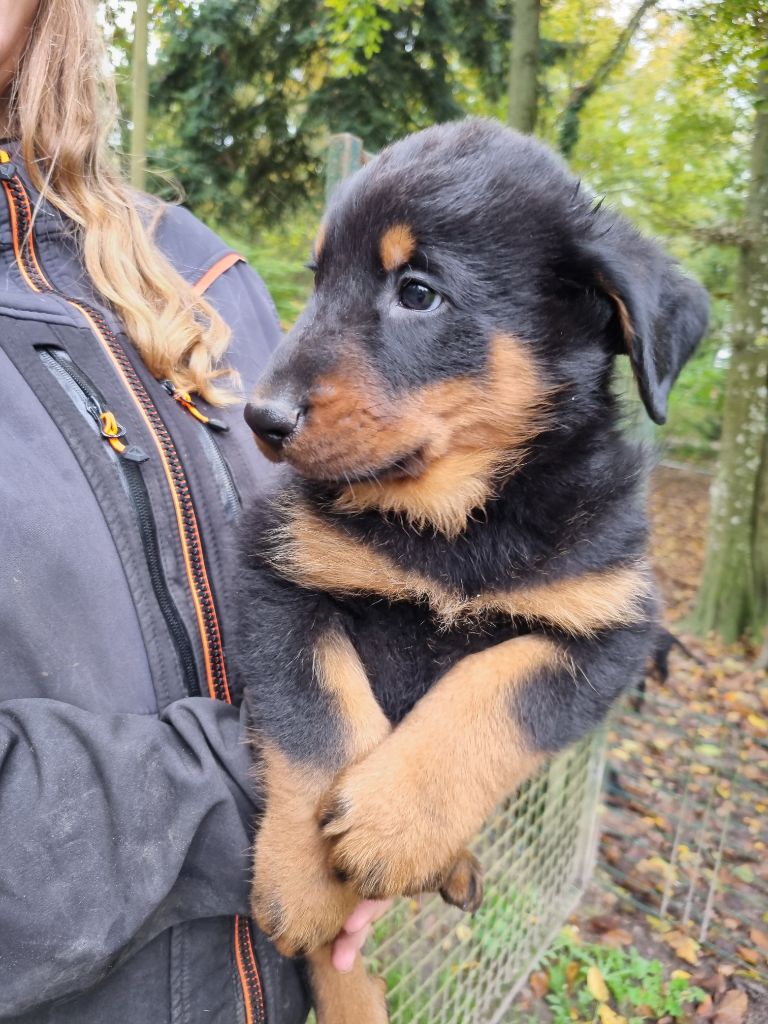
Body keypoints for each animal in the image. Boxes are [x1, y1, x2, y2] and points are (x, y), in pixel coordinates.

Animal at [239, 116, 708, 1019]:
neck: (455, 523)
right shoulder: (276, 571)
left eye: (418, 292)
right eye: (318, 280)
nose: (261, 418)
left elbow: (496, 690)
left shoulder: (610, 627)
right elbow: (317, 712)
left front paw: (395, 824)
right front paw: (305, 884)